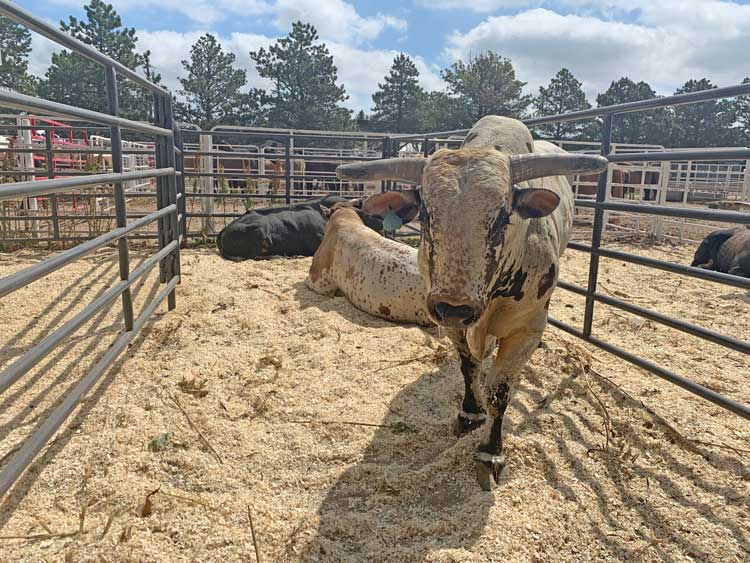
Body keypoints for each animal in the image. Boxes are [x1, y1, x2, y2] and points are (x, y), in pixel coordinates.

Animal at [340, 115, 612, 490]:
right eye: (426, 214)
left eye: (502, 217)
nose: (455, 306)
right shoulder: (451, 324)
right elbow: (469, 367)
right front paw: (470, 412)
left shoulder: (526, 330)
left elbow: (499, 391)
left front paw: (490, 452)